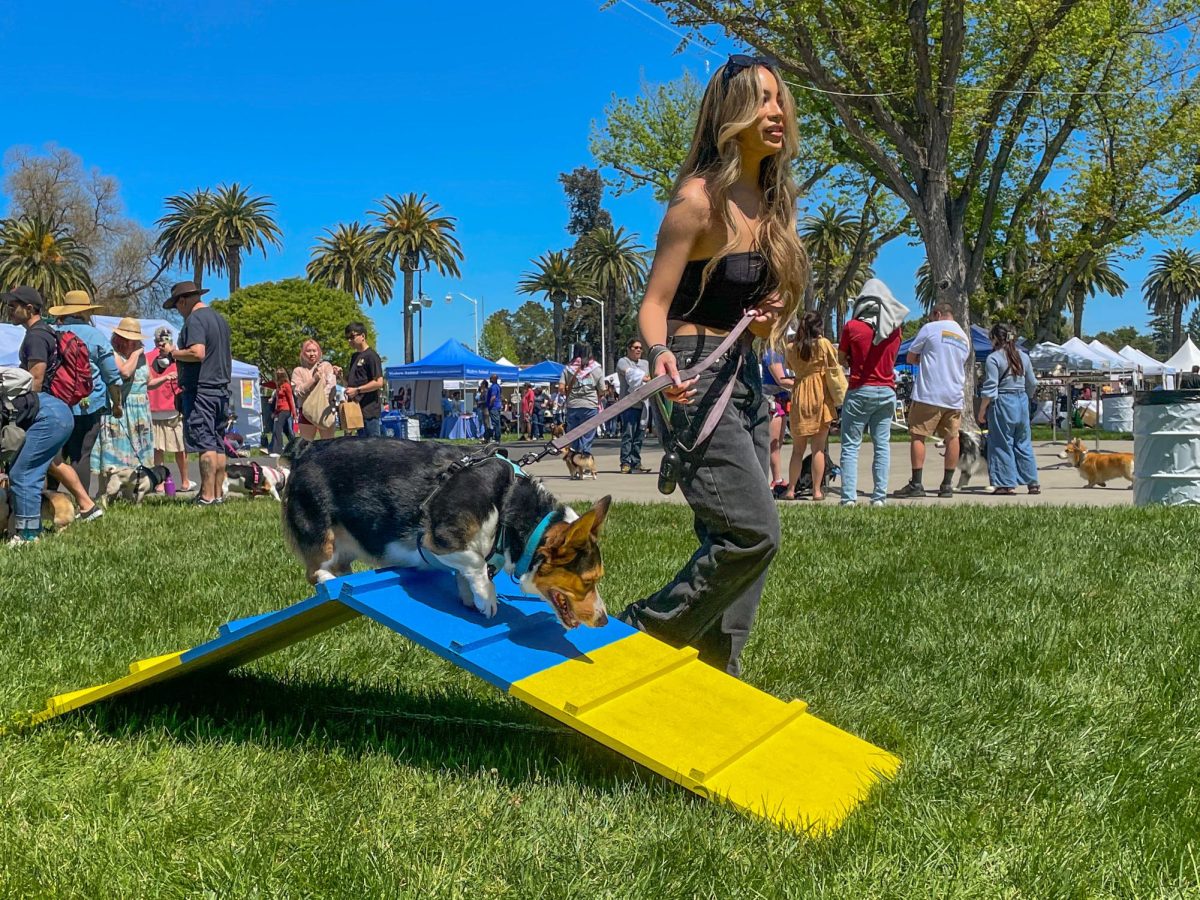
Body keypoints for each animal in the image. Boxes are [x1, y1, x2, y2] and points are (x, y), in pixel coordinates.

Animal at [280, 441, 609, 628]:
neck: (510, 508)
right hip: (320, 532)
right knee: (314, 570)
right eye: (588, 581)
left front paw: (470, 596)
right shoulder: (440, 539)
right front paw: (487, 598)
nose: (604, 620)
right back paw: (328, 580)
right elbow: (476, 564)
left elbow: (468, 571)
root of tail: (302, 451)